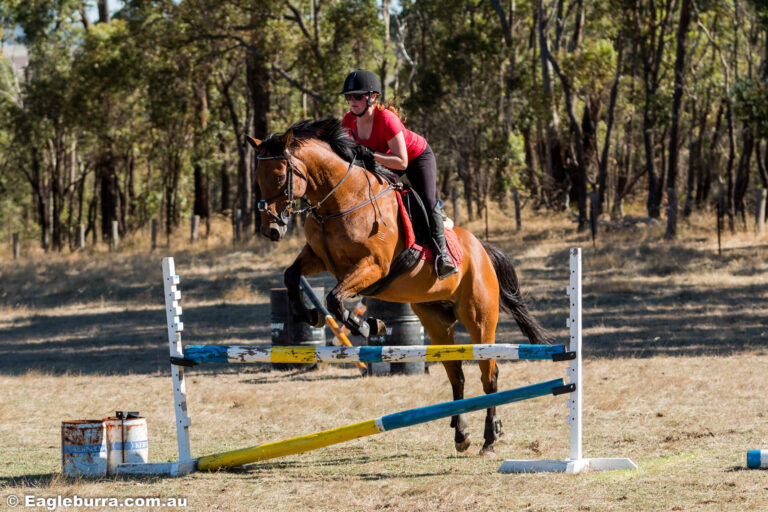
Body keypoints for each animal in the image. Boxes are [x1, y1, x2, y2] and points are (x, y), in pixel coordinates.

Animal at [248, 118, 552, 454]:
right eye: (257, 178)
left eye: (279, 175)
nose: (271, 229)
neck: (341, 201)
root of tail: (482, 250)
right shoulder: (318, 258)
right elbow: (292, 277)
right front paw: (311, 316)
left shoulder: (373, 266)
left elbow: (335, 298)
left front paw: (368, 325)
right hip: (436, 320)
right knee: (456, 374)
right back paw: (461, 434)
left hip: (480, 319)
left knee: (490, 374)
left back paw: (489, 437)